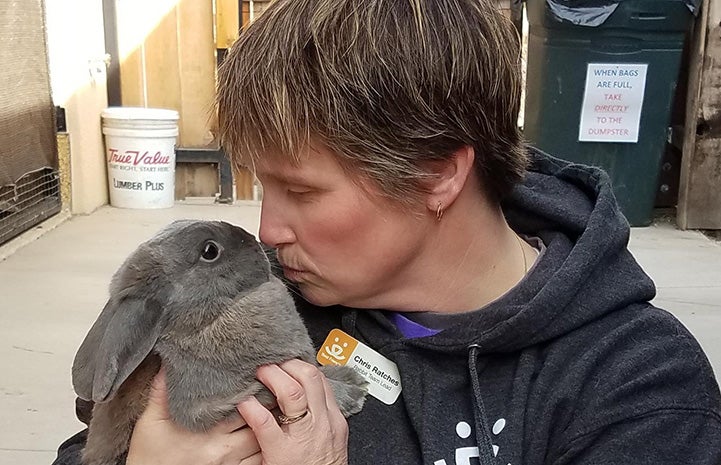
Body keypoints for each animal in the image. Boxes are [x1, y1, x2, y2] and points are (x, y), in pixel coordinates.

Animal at [71, 219, 368, 465]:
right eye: (209, 251)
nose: (254, 239)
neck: (204, 320)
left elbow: (318, 372)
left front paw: (351, 378)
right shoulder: (225, 400)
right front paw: (353, 395)